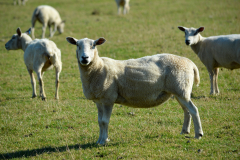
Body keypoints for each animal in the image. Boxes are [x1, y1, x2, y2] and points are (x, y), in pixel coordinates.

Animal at [66, 36, 204, 145]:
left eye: (93, 45)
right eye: (77, 45)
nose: (85, 58)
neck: (98, 68)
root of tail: (190, 63)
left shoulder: (108, 98)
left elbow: (105, 121)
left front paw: (104, 141)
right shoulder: (99, 100)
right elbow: (100, 122)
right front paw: (99, 140)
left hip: (181, 89)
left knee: (194, 110)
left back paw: (198, 134)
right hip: (180, 91)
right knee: (186, 111)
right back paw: (184, 131)